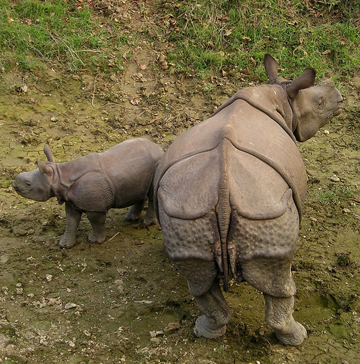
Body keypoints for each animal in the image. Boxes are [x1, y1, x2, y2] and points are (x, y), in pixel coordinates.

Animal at [13, 138, 164, 249]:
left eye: (28, 184)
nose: (14, 185)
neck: (58, 177)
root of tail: (158, 148)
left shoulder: (95, 207)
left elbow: (96, 221)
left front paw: (95, 241)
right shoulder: (71, 202)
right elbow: (71, 221)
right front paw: (64, 245)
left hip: (157, 162)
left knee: (152, 193)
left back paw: (147, 223)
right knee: (140, 189)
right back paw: (130, 218)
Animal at [153, 54, 342, 346]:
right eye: (320, 103)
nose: (341, 98)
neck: (281, 94)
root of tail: (222, 189)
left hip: (188, 212)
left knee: (200, 282)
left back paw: (205, 331)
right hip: (265, 210)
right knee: (280, 282)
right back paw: (297, 337)